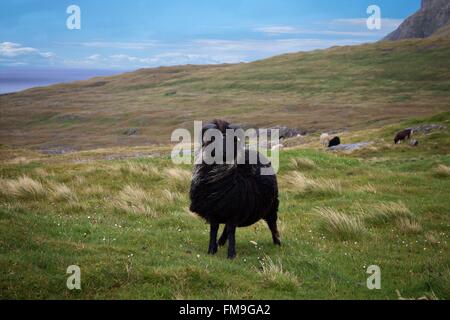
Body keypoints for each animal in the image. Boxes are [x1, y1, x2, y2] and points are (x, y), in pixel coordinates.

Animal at [190, 119, 282, 258]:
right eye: (212, 138)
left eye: (231, 139)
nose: (223, 153)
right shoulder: (214, 210)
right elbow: (214, 230)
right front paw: (211, 250)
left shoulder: (234, 210)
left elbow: (231, 231)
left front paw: (231, 254)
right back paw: (221, 242)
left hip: (271, 205)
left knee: (272, 223)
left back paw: (277, 242)